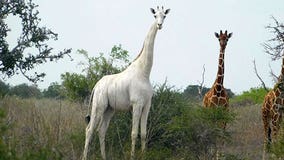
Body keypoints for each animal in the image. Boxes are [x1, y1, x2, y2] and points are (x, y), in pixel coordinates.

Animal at [82, 6, 171, 160]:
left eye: (164, 16)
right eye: (155, 16)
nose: (160, 25)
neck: (144, 72)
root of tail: (96, 85)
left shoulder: (147, 105)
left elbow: (143, 134)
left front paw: (144, 155)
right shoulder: (136, 104)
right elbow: (134, 133)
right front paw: (133, 157)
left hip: (109, 109)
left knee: (101, 130)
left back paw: (104, 157)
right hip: (99, 106)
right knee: (89, 130)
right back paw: (84, 157)